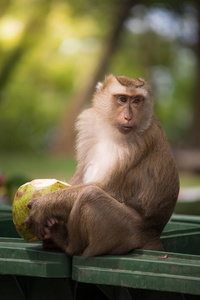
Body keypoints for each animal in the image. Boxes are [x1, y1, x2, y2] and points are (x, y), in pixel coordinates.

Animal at [25, 74, 180, 255]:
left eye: (136, 100)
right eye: (122, 99)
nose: (128, 117)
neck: (110, 130)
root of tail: (153, 234)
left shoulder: (138, 143)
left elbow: (105, 187)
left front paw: (44, 205)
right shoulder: (89, 123)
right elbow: (81, 175)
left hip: (127, 230)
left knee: (90, 195)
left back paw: (64, 241)